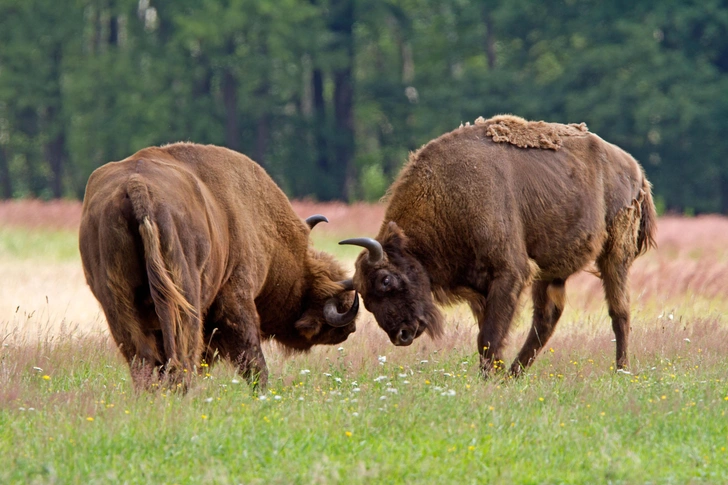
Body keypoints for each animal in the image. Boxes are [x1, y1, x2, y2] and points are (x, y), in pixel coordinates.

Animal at [79, 141, 358, 390]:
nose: (350, 326)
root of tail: (137, 186)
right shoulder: (236, 294)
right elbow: (252, 359)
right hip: (186, 299)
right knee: (183, 359)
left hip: (119, 305)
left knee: (143, 361)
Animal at [344, 115, 656, 376]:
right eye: (366, 301)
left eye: (386, 280)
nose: (402, 335)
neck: (445, 196)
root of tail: (636, 170)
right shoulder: (481, 288)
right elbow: (487, 335)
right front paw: (495, 374)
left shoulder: (509, 273)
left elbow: (490, 336)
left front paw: (488, 378)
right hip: (551, 270)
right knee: (547, 317)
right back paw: (514, 374)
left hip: (614, 255)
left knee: (619, 312)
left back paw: (621, 370)